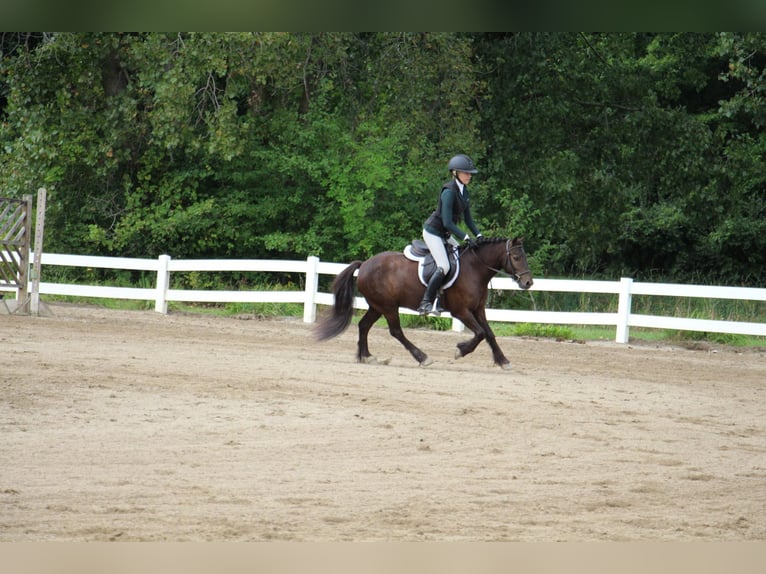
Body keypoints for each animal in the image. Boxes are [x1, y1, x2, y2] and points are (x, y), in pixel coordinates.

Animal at [316, 237, 536, 368]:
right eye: (516, 257)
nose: (528, 282)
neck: (474, 268)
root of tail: (364, 264)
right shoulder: (461, 311)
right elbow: (480, 333)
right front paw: (460, 350)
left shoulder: (478, 309)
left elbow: (489, 334)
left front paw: (503, 360)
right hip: (388, 307)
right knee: (396, 331)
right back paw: (422, 357)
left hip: (377, 306)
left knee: (364, 325)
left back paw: (366, 356)